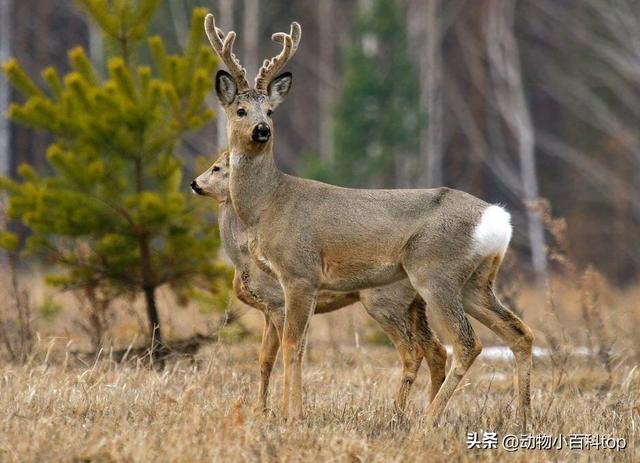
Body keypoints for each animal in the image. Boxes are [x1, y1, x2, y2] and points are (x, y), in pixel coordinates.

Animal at [192, 152, 448, 414]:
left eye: (216, 168)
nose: (194, 183)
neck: (243, 258)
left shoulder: (277, 303)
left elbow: (284, 354)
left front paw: (278, 409)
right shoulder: (267, 311)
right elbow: (264, 359)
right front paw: (260, 409)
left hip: (384, 301)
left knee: (414, 352)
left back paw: (398, 412)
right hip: (415, 305)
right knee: (437, 351)